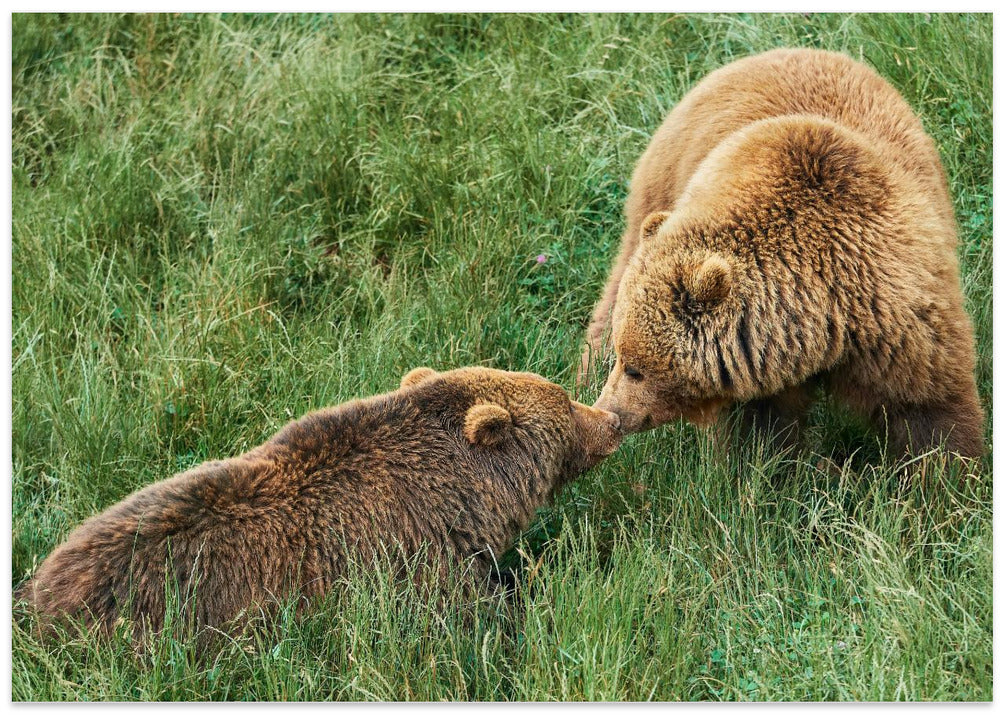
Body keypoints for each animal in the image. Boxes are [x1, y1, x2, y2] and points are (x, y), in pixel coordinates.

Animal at [579, 47, 984, 459]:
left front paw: (948, 465)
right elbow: (758, 431)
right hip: (662, 184)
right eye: (626, 359)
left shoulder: (892, 316)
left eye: (636, 368)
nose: (612, 412)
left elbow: (927, 406)